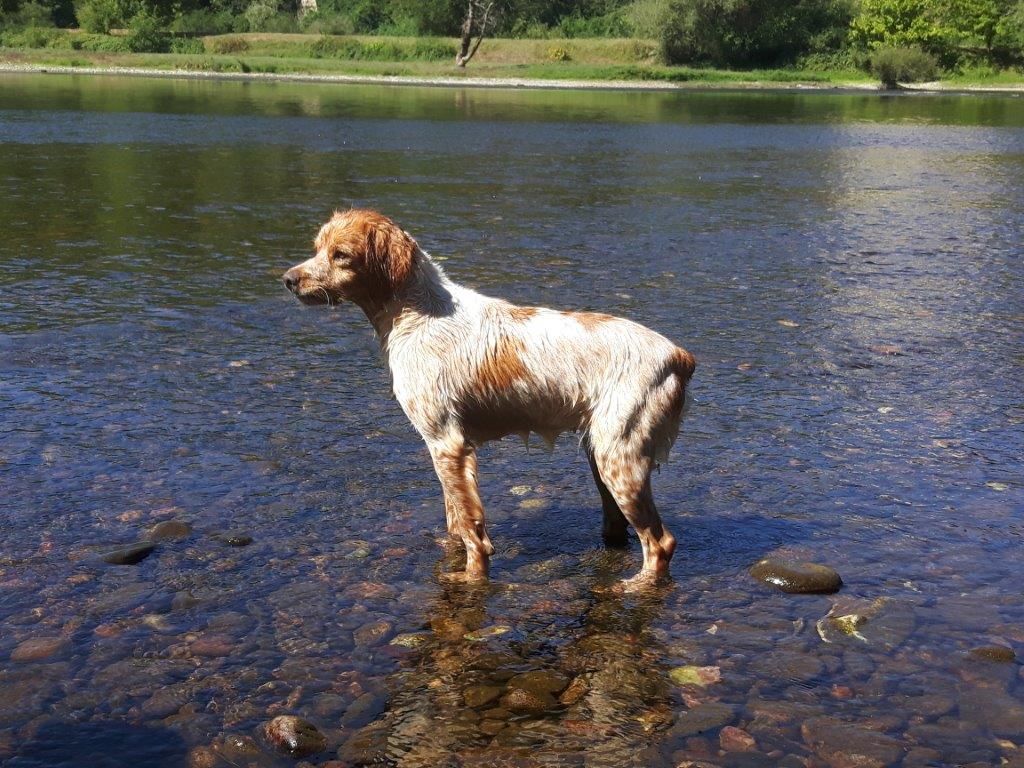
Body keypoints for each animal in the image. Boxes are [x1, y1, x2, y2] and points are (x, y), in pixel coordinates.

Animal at [280, 210, 696, 589]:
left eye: (341, 254)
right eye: (317, 248)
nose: (288, 280)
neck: (418, 313)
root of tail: (678, 355)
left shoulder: (448, 443)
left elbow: (471, 529)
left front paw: (471, 576)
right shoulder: (444, 450)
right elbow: (455, 521)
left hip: (619, 459)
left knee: (661, 542)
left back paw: (636, 585)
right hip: (600, 453)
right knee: (619, 528)